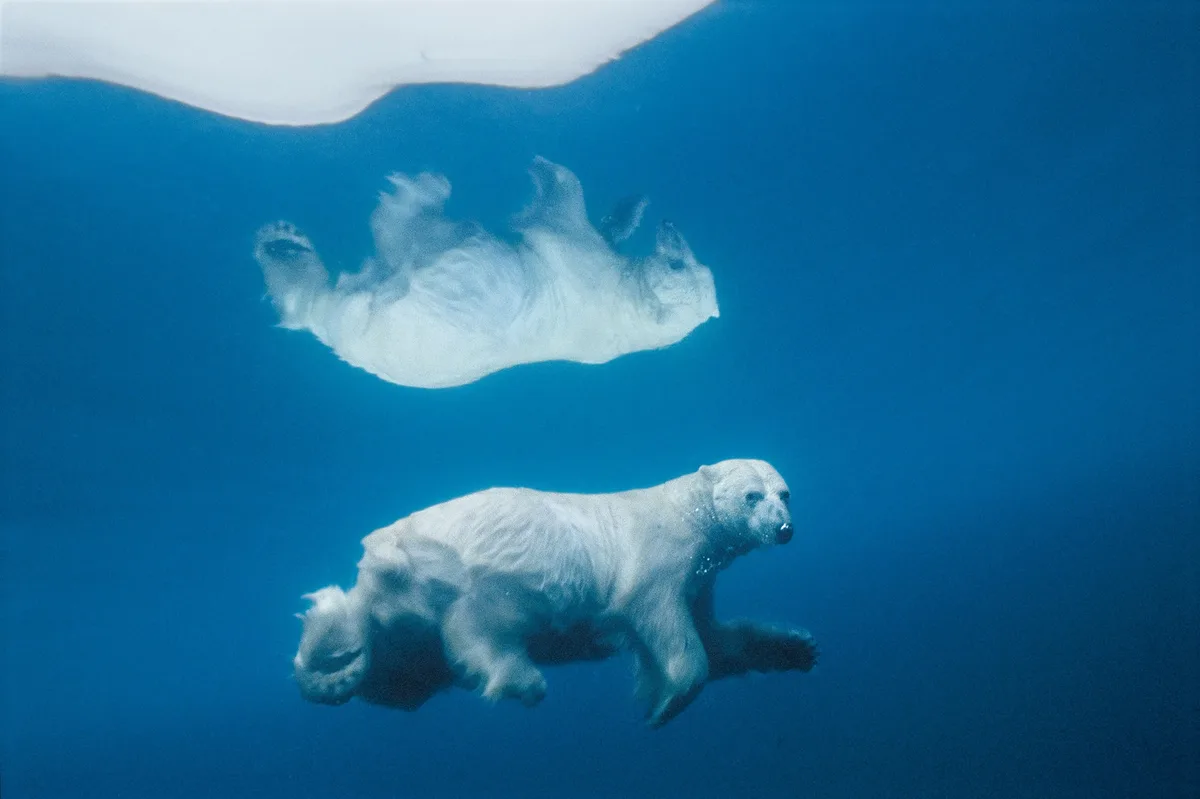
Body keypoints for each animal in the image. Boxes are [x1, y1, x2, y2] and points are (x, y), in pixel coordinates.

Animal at [292, 459, 818, 728]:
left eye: (785, 493)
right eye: (752, 496)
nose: (784, 530)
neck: (687, 512)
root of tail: (373, 574)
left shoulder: (701, 578)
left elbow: (719, 637)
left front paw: (797, 647)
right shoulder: (660, 558)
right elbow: (666, 624)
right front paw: (664, 704)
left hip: (403, 631)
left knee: (396, 675)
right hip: (476, 570)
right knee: (481, 624)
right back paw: (520, 678)